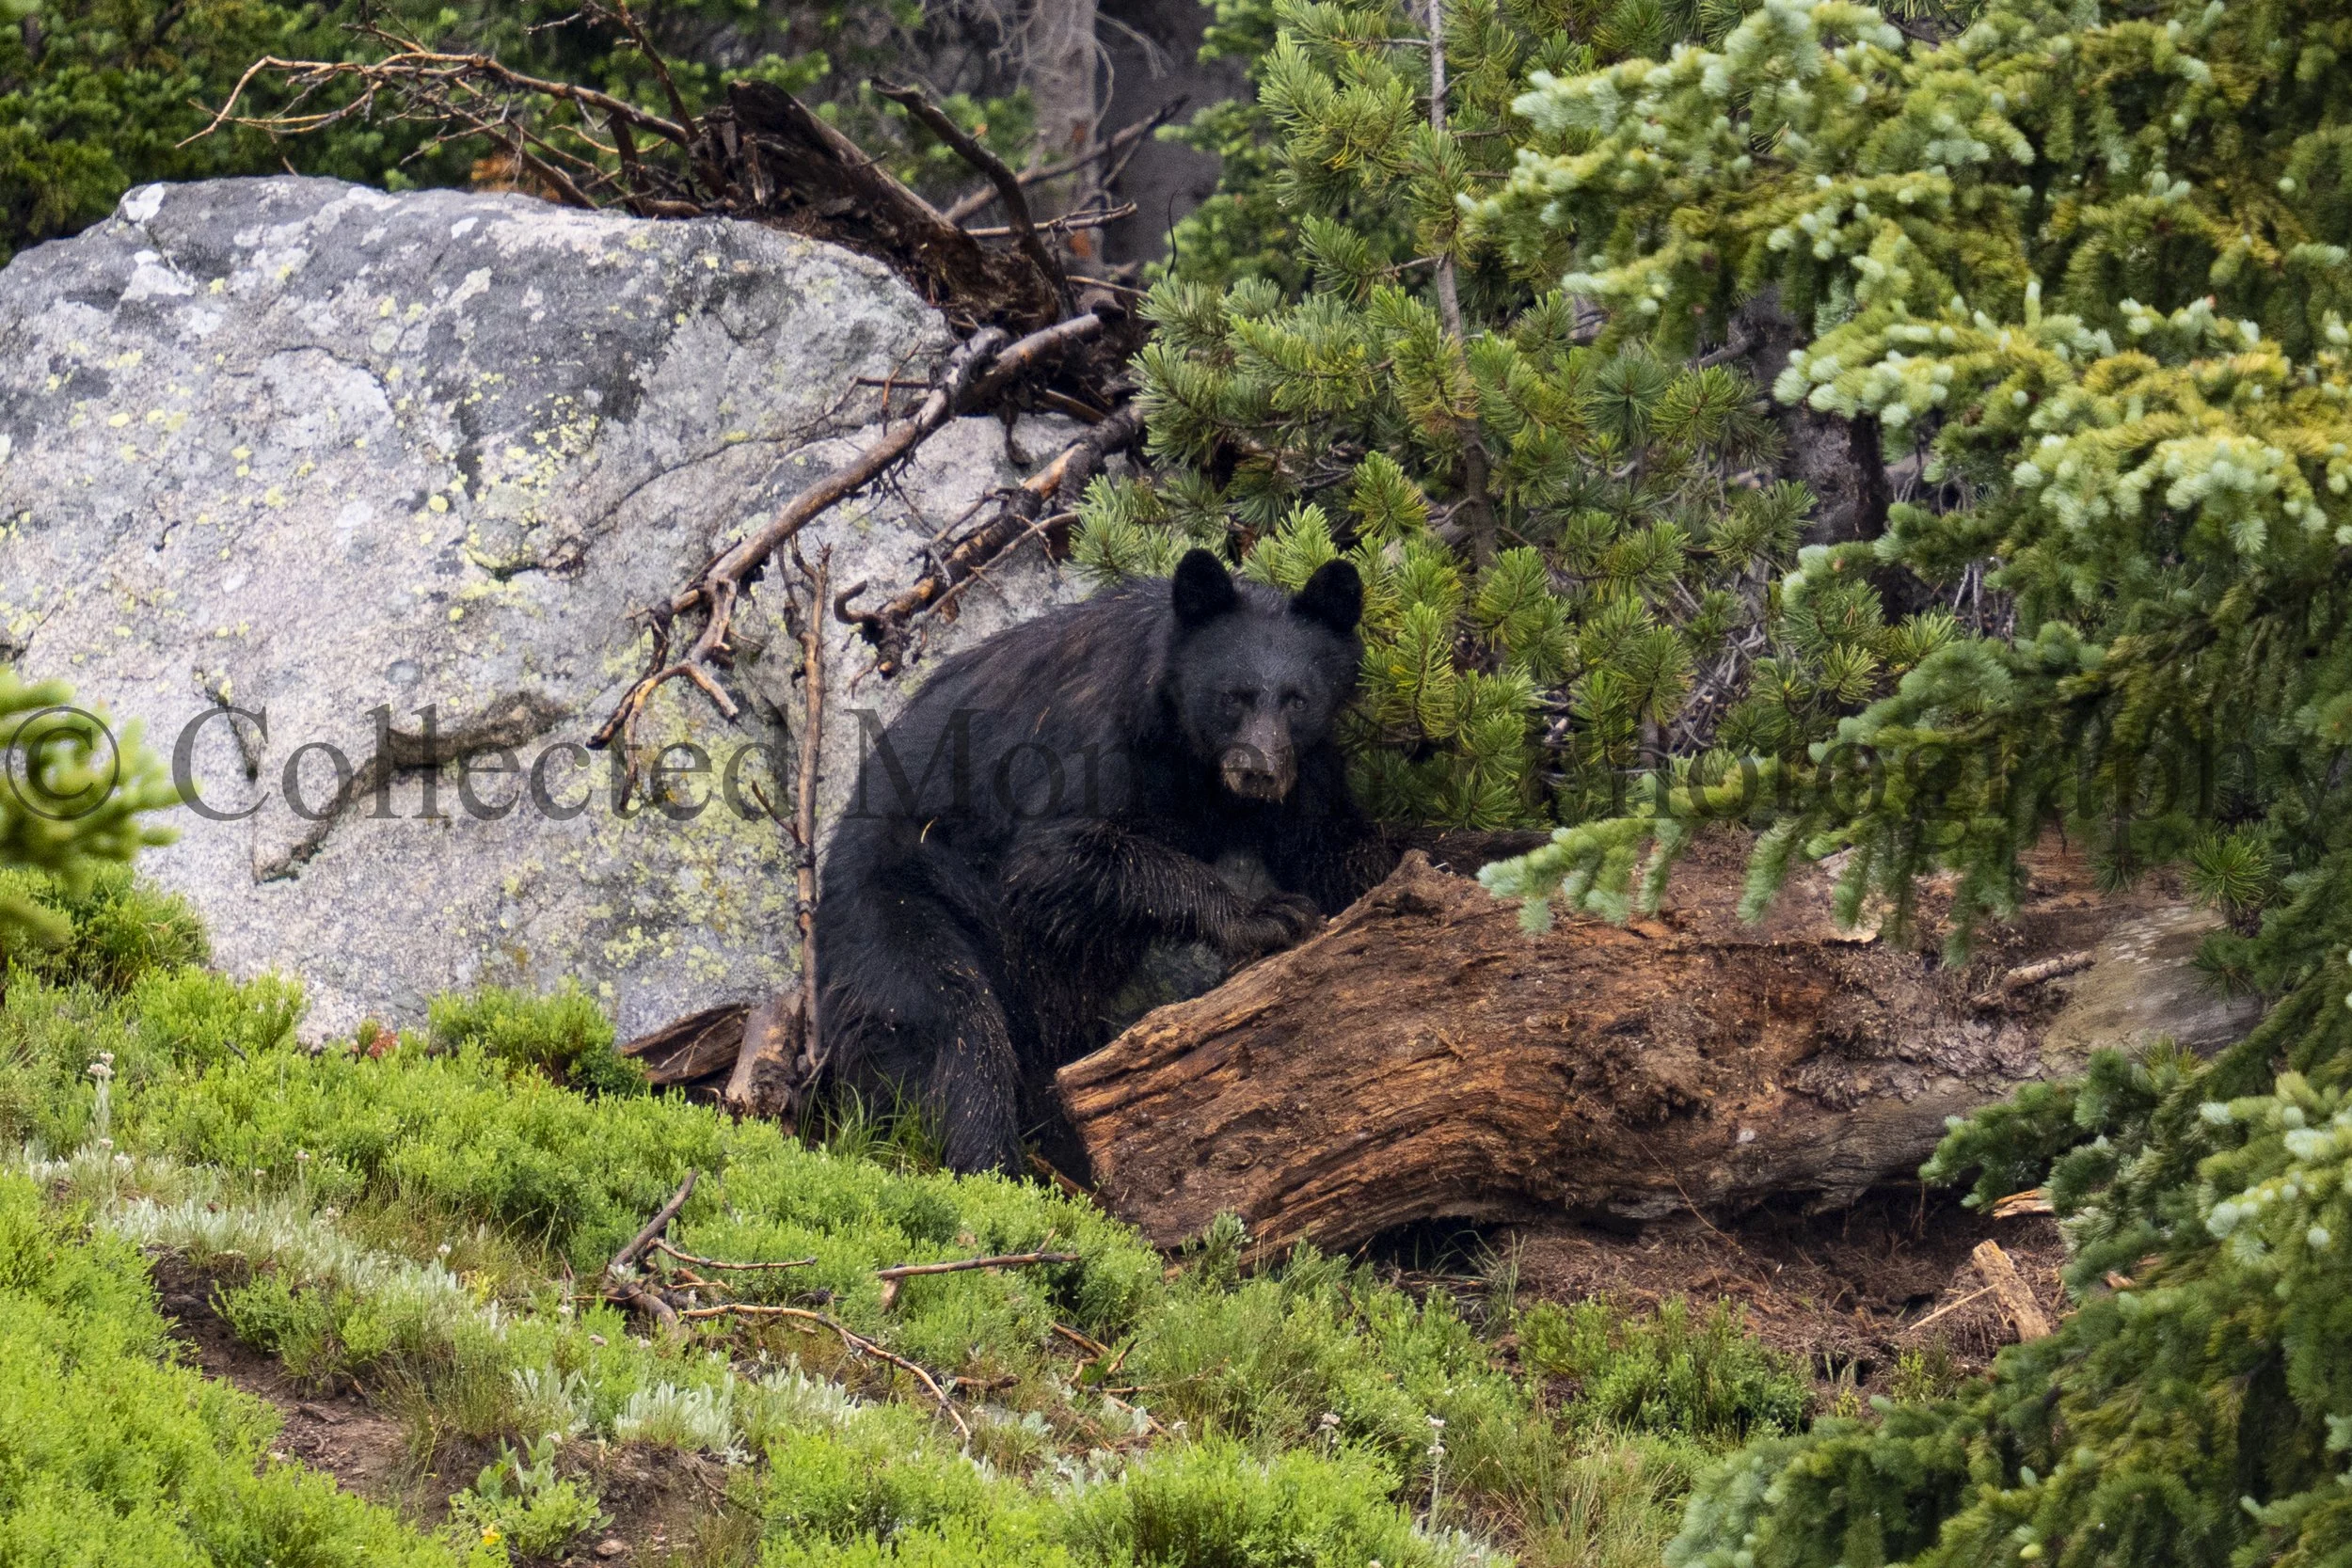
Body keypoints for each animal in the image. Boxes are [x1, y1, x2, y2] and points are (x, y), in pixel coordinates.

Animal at [813, 547, 1395, 1174]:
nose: (1257, 770)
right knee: (958, 1032)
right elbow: (1050, 858)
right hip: (897, 910)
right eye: (1232, 696)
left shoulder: (1305, 767)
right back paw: (999, 1167)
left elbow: (1326, 842)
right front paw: (1265, 915)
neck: (1187, 752)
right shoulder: (1092, 739)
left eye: (1298, 699)